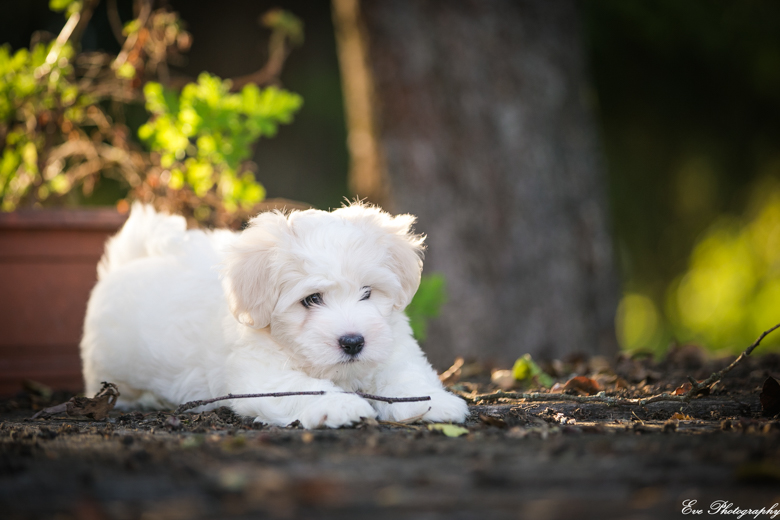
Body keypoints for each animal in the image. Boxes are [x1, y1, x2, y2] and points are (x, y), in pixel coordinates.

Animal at [80, 202, 470, 426]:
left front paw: (436, 403)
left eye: (367, 292)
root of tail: (132, 257)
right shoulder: (261, 374)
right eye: (311, 300)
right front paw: (338, 406)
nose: (353, 342)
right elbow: (302, 388)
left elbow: (406, 375)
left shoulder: (393, 345)